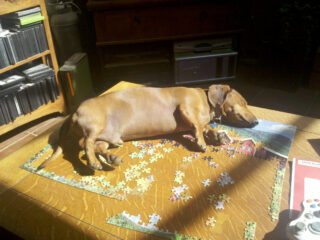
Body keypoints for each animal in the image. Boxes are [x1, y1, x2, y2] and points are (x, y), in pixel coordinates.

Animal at [38, 84, 258, 171]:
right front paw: (203, 143)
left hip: (106, 138)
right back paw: (93, 162)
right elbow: (197, 127)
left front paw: (217, 136)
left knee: (97, 147)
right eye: (244, 102)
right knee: (85, 143)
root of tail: (74, 112)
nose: (257, 122)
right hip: (94, 125)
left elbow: (204, 128)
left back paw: (110, 158)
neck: (205, 100)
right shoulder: (185, 108)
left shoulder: (193, 122)